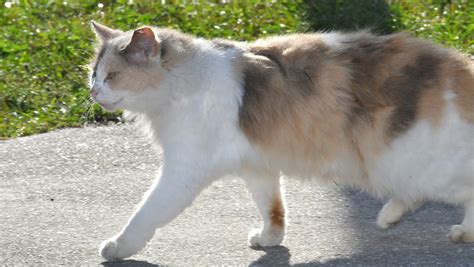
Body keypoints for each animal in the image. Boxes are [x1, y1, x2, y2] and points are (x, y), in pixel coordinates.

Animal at [90, 21, 474, 262]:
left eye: (113, 76)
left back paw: (460, 232)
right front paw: (269, 239)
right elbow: (273, 209)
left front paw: (119, 246)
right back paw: (389, 217)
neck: (182, 82)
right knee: (415, 195)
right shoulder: (258, 166)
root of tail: (458, 65)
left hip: (408, 162)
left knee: (461, 190)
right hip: (404, 166)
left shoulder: (183, 171)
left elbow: (146, 213)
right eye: (93, 75)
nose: (93, 93)